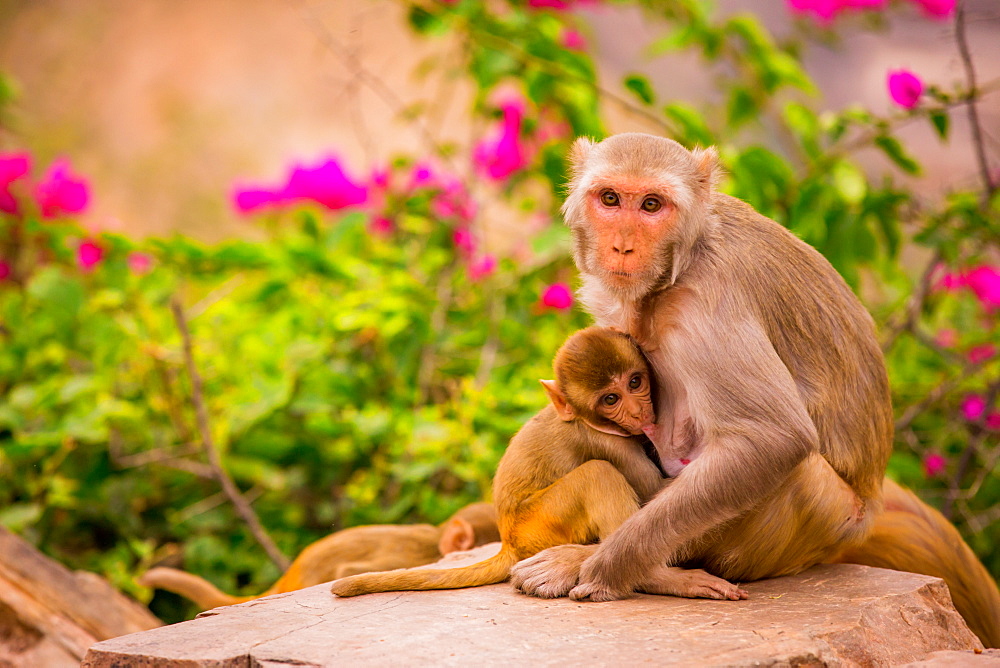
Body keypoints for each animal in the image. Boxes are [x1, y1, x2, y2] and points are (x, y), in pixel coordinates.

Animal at [332, 326, 748, 604]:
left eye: (635, 382)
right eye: (610, 399)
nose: (637, 411)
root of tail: (509, 541)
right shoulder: (607, 440)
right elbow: (651, 489)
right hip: (540, 524)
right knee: (597, 474)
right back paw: (656, 578)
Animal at [512, 133, 896, 604]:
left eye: (652, 205)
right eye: (610, 198)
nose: (622, 245)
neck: (679, 265)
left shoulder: (708, 302)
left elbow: (773, 438)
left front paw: (605, 567)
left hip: (815, 521)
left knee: (794, 468)